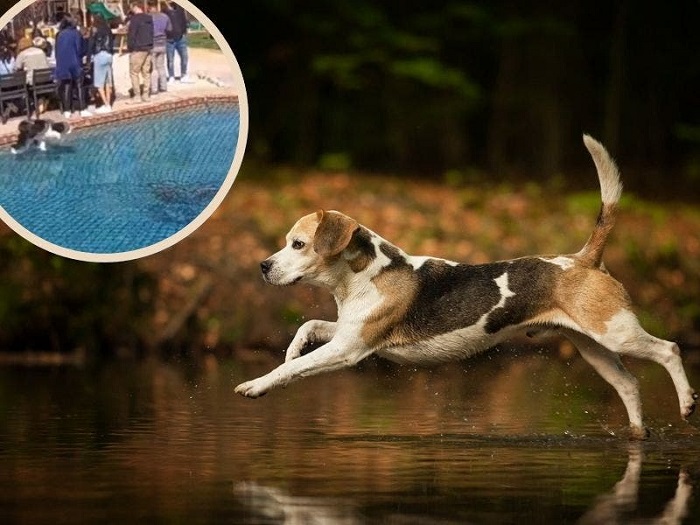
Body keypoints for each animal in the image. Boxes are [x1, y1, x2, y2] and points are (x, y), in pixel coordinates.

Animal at [238, 135, 696, 438]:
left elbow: (290, 370)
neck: (365, 275)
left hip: (617, 333)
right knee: (629, 384)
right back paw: (638, 435)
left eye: (298, 244)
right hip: (594, 347)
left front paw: (257, 385)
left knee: (669, 350)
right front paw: (292, 348)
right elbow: (308, 328)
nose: (263, 266)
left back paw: (688, 402)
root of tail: (583, 259)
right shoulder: (350, 332)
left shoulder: (350, 349)